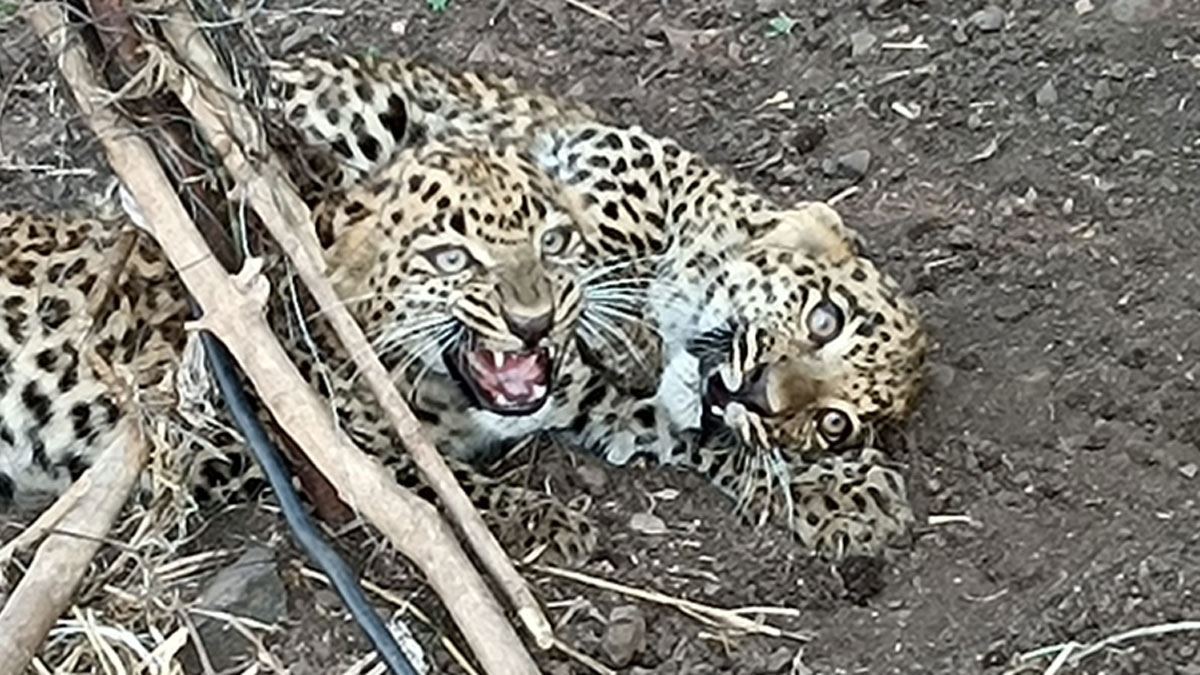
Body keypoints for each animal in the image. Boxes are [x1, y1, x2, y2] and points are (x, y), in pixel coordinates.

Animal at [266, 52, 928, 558]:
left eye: (834, 424)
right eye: (824, 319)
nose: (758, 394)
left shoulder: (607, 402)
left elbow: (693, 433)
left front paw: (837, 489)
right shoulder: (612, 153)